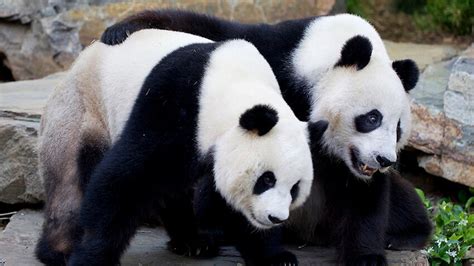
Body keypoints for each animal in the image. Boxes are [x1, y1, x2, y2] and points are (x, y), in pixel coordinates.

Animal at [36, 29, 330, 266]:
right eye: (266, 179)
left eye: (295, 188)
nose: (275, 217)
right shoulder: (172, 105)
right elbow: (123, 180)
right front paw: (92, 256)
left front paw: (276, 257)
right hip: (82, 110)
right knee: (70, 183)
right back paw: (60, 251)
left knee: (174, 189)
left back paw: (195, 241)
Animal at [100, 9, 434, 264]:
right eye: (372, 118)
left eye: (399, 128)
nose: (384, 159)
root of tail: (311, 232)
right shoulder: (276, 60)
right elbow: (218, 33)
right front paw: (125, 27)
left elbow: (365, 193)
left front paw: (365, 256)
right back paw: (202, 238)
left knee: (402, 199)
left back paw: (405, 234)